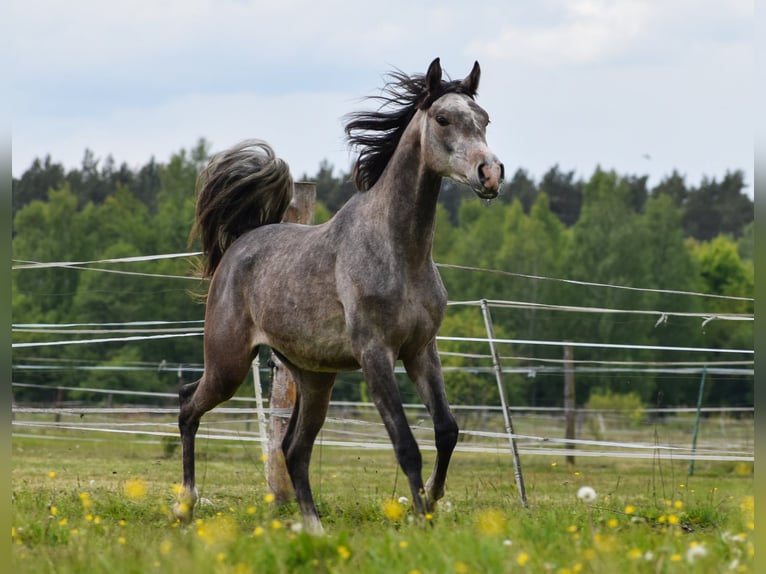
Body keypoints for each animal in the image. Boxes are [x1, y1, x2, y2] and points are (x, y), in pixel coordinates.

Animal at [175, 57, 504, 534]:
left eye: (484, 120)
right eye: (443, 119)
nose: (490, 174)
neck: (399, 250)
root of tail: (239, 244)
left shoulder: (422, 350)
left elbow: (447, 429)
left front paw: (434, 500)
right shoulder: (375, 354)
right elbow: (406, 444)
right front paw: (420, 522)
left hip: (315, 378)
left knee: (293, 449)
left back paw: (314, 527)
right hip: (228, 365)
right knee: (188, 406)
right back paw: (185, 506)